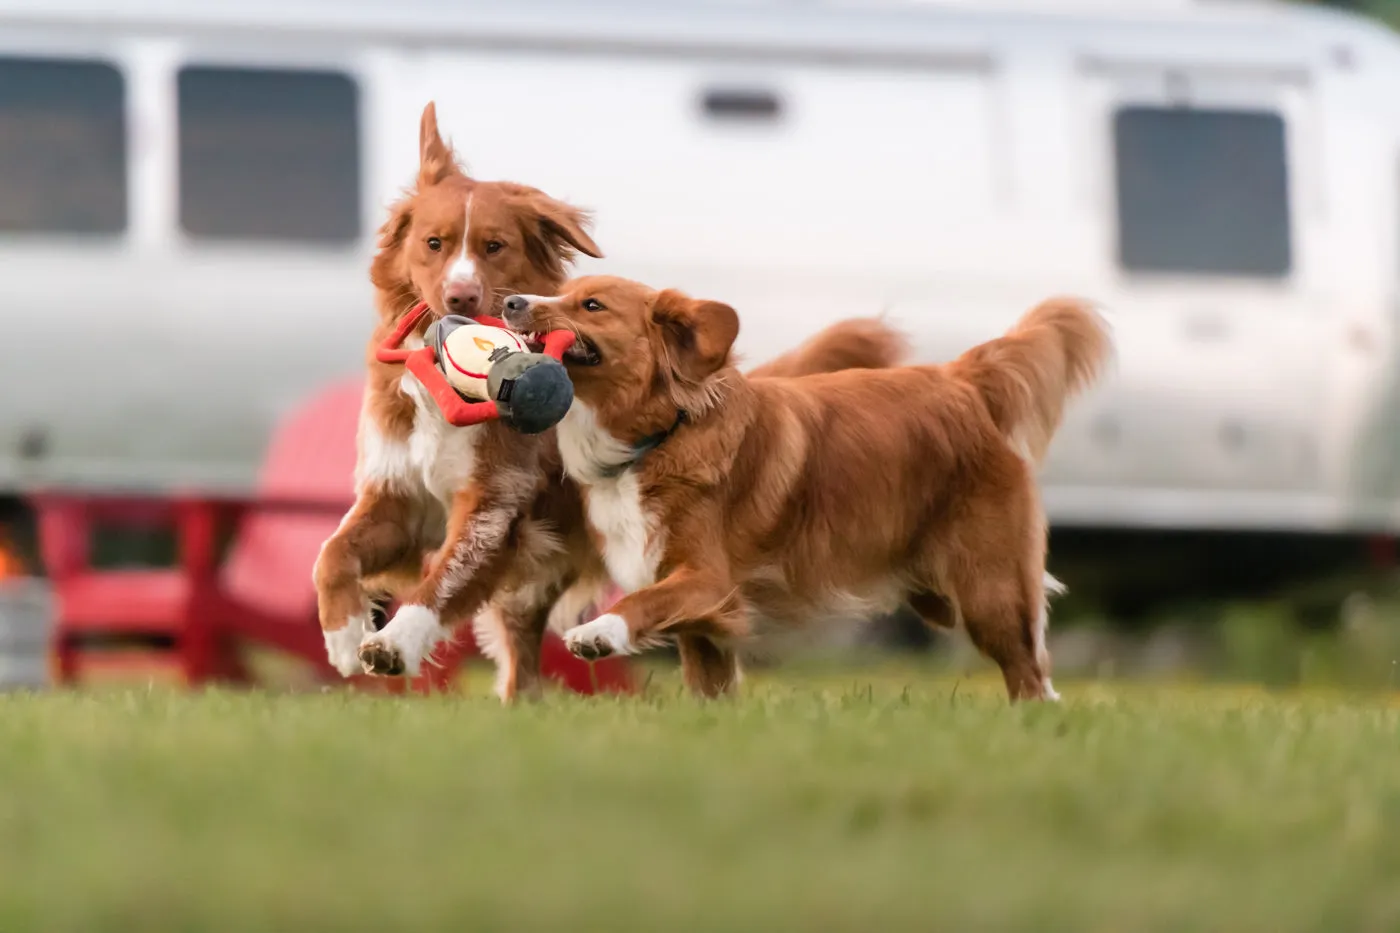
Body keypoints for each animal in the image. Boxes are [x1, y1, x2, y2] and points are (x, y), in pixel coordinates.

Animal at [312, 103, 912, 697]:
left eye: (493, 246)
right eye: (433, 244)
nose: (461, 297)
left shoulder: (494, 506)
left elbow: (441, 582)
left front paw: (394, 641)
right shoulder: (399, 494)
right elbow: (333, 552)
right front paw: (342, 632)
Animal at [498, 275, 1108, 697]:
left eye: (591, 305)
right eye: (562, 291)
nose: (509, 301)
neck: (663, 433)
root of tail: (961, 379)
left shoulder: (709, 581)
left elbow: (644, 602)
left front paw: (600, 632)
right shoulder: (704, 625)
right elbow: (708, 686)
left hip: (991, 590)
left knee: (1031, 677)